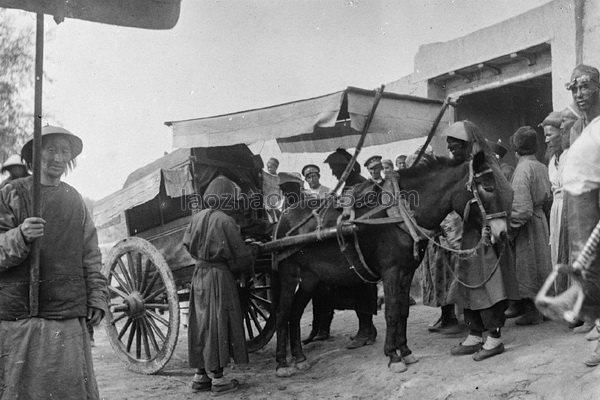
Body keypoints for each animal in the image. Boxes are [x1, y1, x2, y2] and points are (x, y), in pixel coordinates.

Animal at [272, 148, 510, 376]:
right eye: (488, 187)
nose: (502, 232)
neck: (402, 212)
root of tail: (283, 216)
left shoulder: (406, 271)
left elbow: (402, 310)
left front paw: (405, 351)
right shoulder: (391, 272)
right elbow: (391, 312)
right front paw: (393, 357)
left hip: (310, 278)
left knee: (295, 313)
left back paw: (300, 358)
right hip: (288, 274)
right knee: (282, 314)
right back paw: (282, 364)